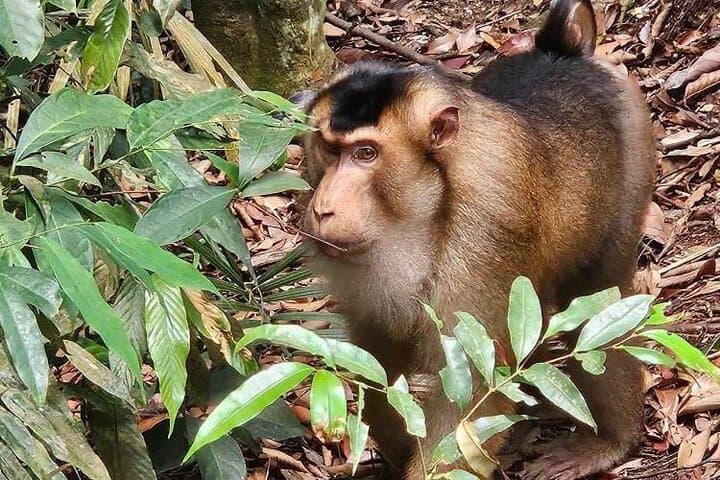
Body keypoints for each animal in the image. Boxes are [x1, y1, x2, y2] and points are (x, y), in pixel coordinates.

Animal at [300, 0, 655, 478]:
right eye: (329, 148)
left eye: (366, 154)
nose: (324, 207)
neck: (422, 213)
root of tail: (564, 52)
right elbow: (379, 363)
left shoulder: (485, 232)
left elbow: (471, 397)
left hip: (635, 145)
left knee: (599, 292)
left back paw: (610, 441)